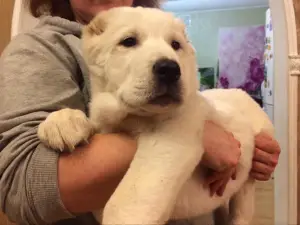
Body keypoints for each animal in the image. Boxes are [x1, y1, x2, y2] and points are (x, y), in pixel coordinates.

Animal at [37, 6, 274, 225]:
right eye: (129, 41)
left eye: (176, 45)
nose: (170, 69)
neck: (130, 116)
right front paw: (62, 122)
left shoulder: (170, 139)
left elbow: (128, 200)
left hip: (245, 186)